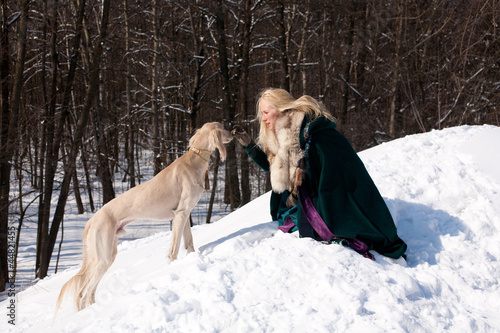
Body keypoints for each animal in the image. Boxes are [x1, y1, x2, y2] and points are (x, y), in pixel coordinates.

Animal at [56, 121, 232, 312]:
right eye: (223, 127)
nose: (233, 132)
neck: (194, 160)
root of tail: (91, 220)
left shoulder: (185, 214)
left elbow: (189, 243)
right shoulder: (180, 214)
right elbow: (174, 250)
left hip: (108, 255)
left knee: (90, 293)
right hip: (103, 257)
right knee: (82, 293)